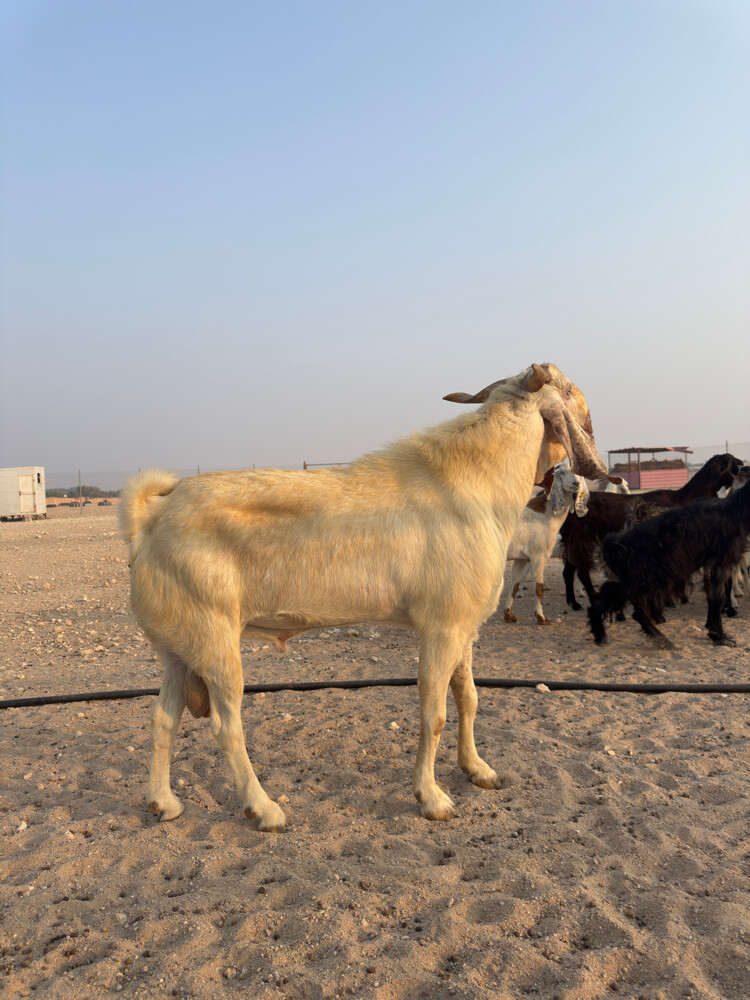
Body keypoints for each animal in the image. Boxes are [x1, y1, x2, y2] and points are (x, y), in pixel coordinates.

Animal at [504, 462, 589, 624]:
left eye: (579, 472)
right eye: (562, 472)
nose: (576, 483)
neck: (544, 516)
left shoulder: (522, 559)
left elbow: (514, 585)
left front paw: (508, 615)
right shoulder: (538, 556)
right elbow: (539, 587)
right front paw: (541, 617)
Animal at [561, 453, 743, 611]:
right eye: (734, 463)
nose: (743, 463)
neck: (685, 497)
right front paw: (672, 599)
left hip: (573, 541)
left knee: (568, 571)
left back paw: (574, 603)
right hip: (581, 539)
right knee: (582, 572)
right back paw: (591, 599)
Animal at [588, 481, 750, 649]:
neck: (734, 510)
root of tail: (616, 548)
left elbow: (714, 597)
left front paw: (713, 631)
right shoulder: (719, 562)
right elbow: (717, 598)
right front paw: (719, 636)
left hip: (632, 580)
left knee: (600, 601)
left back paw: (600, 634)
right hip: (657, 578)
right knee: (638, 612)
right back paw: (661, 638)